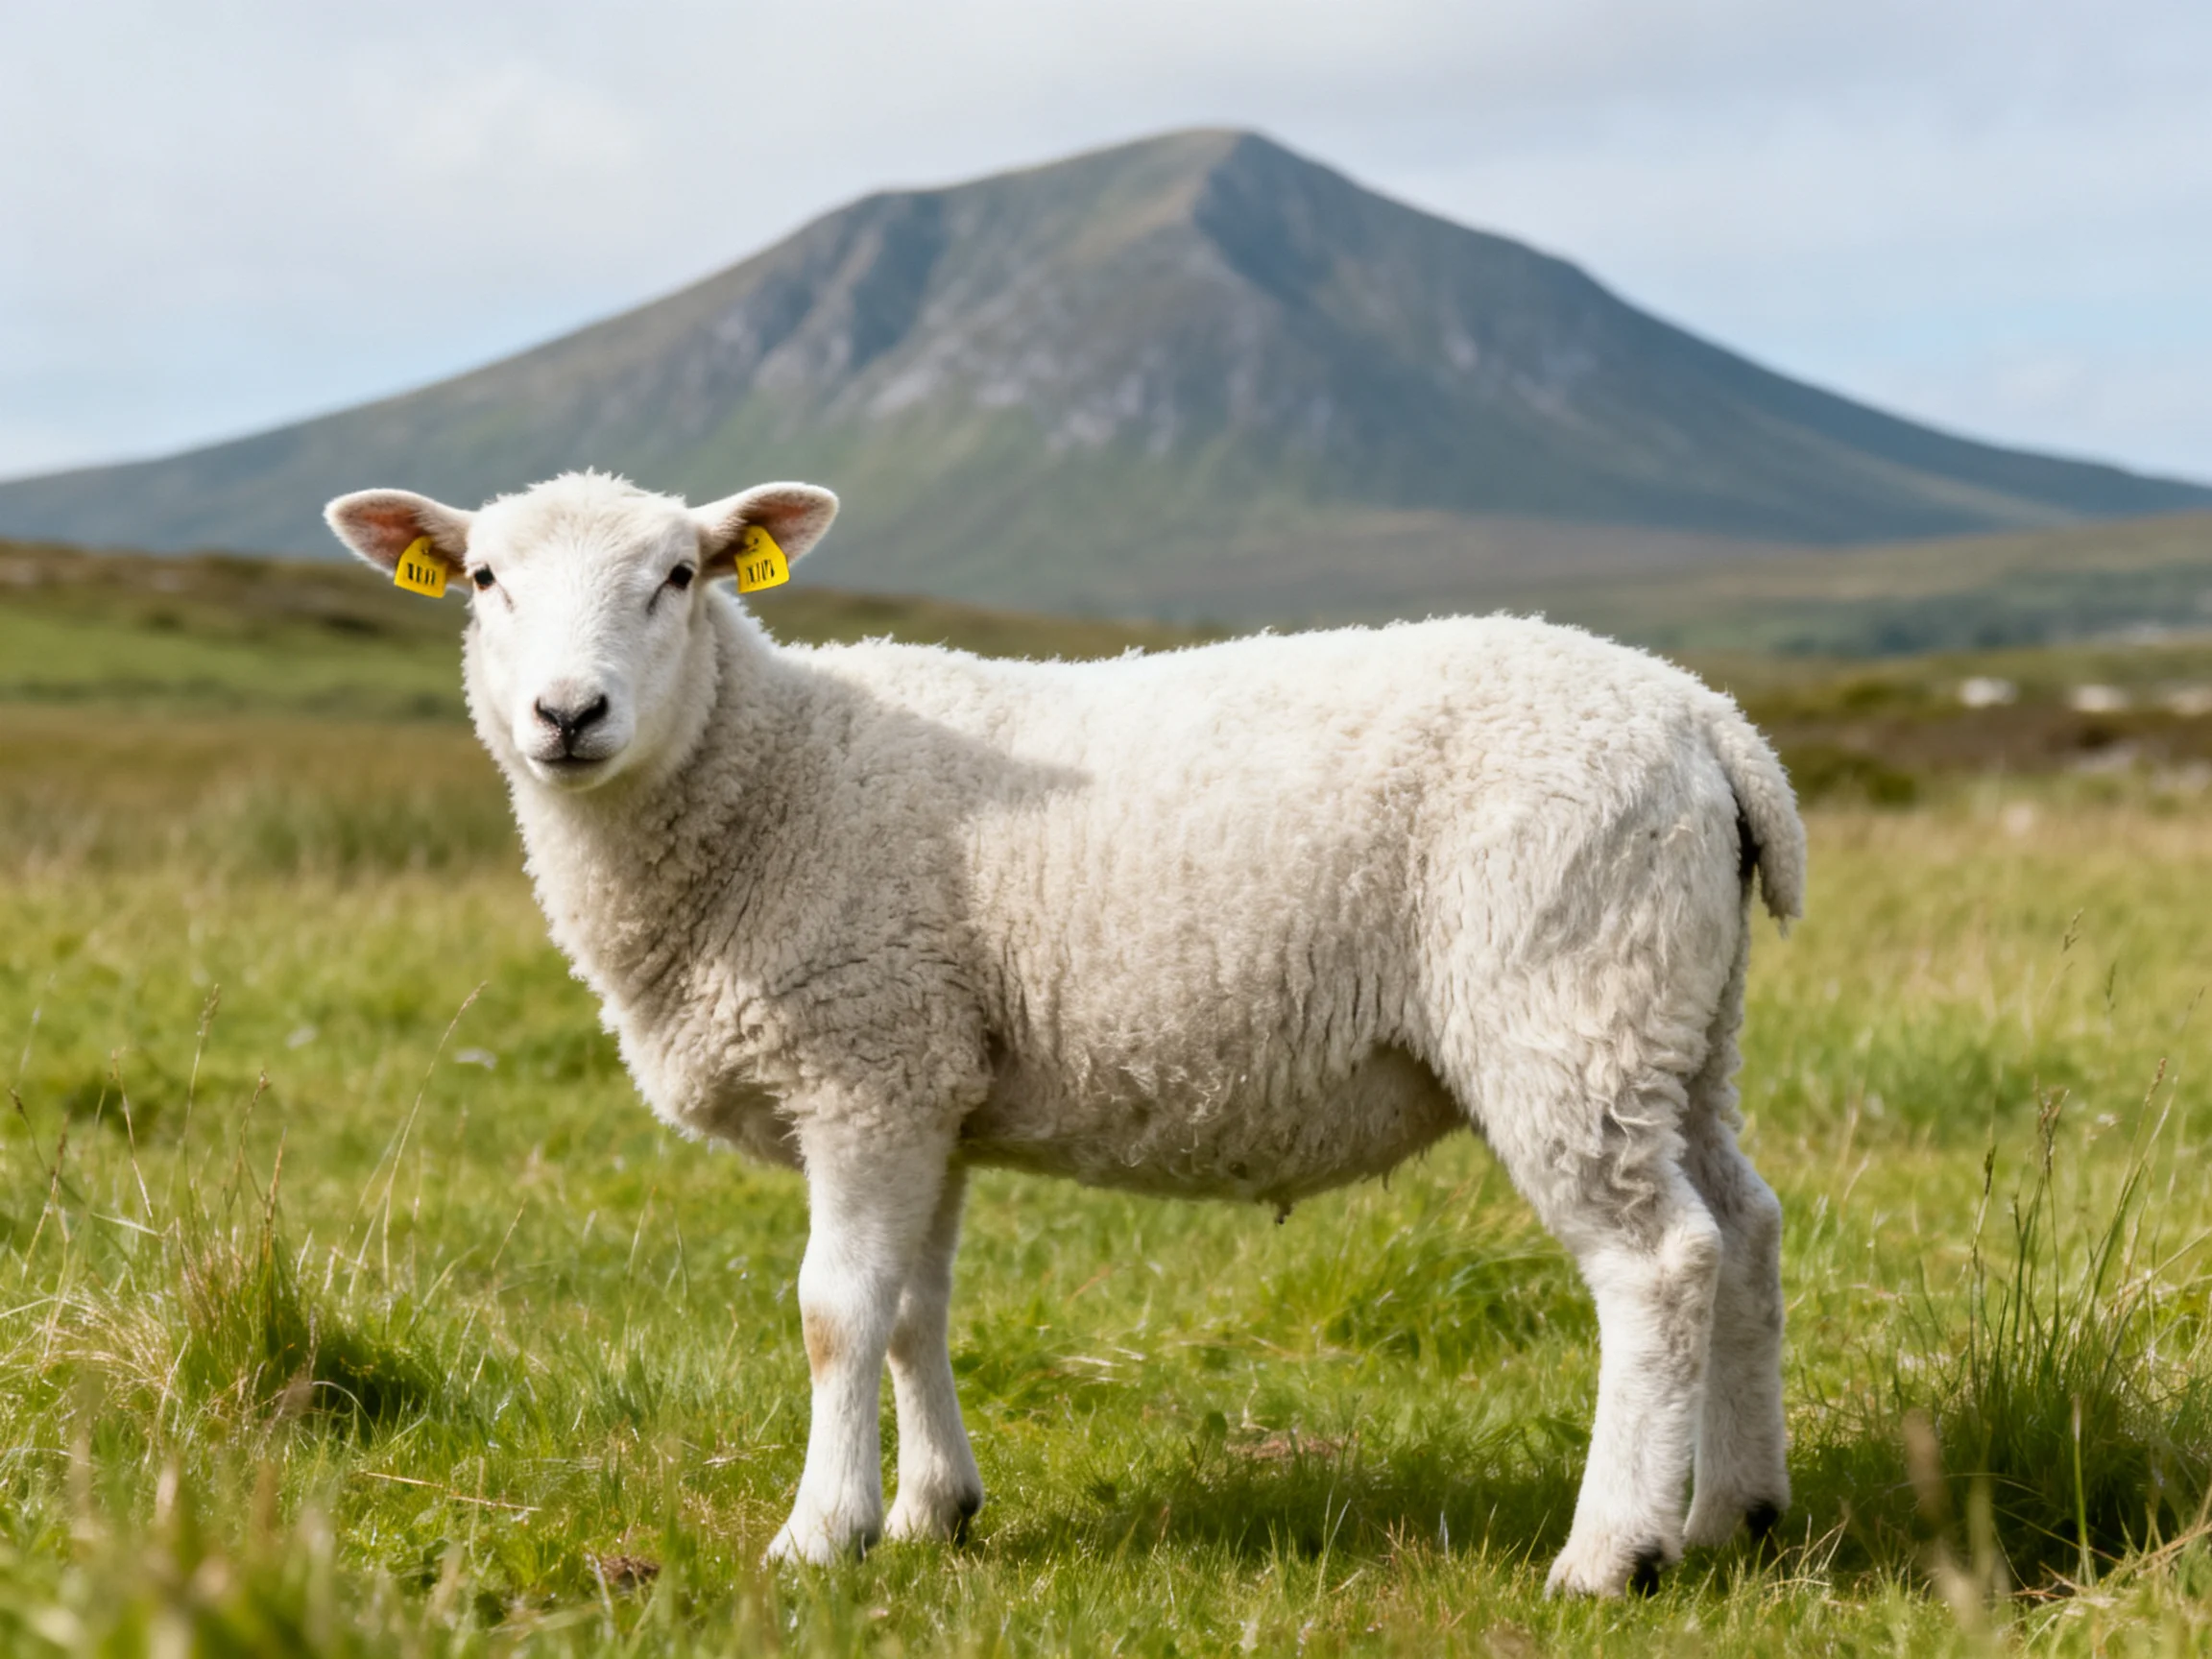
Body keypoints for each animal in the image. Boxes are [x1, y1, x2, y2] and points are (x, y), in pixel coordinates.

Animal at [325, 469, 1805, 1596]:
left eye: (681, 576)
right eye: (483, 581)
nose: (569, 715)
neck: (771, 775)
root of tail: (1709, 722)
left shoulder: (863, 1063)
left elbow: (834, 1312)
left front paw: (819, 1536)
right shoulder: (928, 1078)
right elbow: (913, 1310)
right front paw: (930, 1510)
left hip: (1560, 1000)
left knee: (1658, 1262)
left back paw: (1610, 1555)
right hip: (1678, 1020)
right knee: (1746, 1227)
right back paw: (1733, 1514)